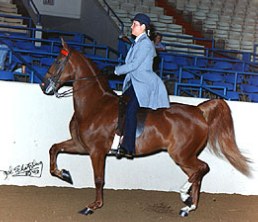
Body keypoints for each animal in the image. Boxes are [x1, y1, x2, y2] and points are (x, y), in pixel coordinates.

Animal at [39, 38, 250, 217]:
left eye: (58, 61)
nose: (43, 84)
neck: (95, 105)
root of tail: (198, 110)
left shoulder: (96, 151)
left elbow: (98, 179)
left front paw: (93, 206)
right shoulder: (80, 145)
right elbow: (54, 149)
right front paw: (64, 174)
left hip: (182, 155)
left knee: (201, 169)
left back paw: (186, 197)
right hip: (184, 156)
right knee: (196, 173)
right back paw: (188, 206)